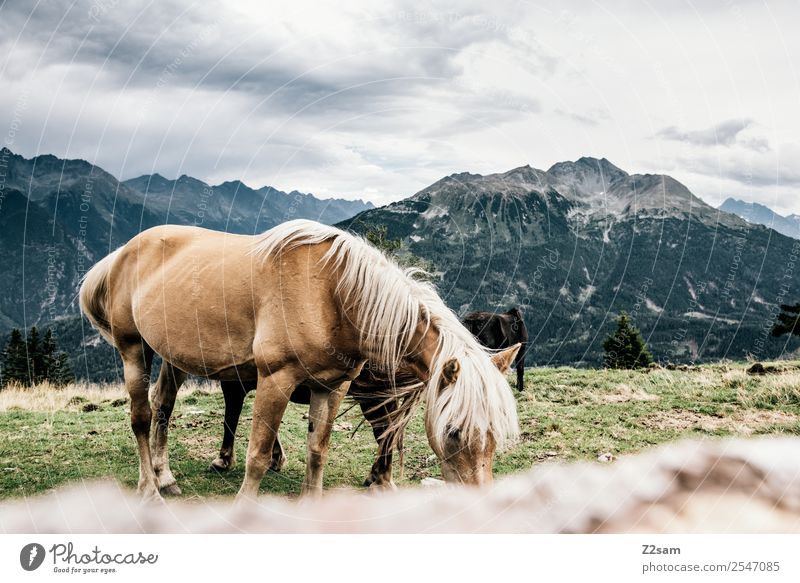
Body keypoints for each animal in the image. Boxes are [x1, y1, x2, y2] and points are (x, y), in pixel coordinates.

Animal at [81, 220, 520, 502]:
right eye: (452, 432)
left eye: (495, 435)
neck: (333, 295)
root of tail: (123, 252)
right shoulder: (275, 380)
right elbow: (257, 457)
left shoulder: (333, 387)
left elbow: (317, 452)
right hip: (133, 348)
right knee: (141, 418)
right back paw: (149, 489)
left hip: (172, 355)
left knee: (163, 407)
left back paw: (165, 477)